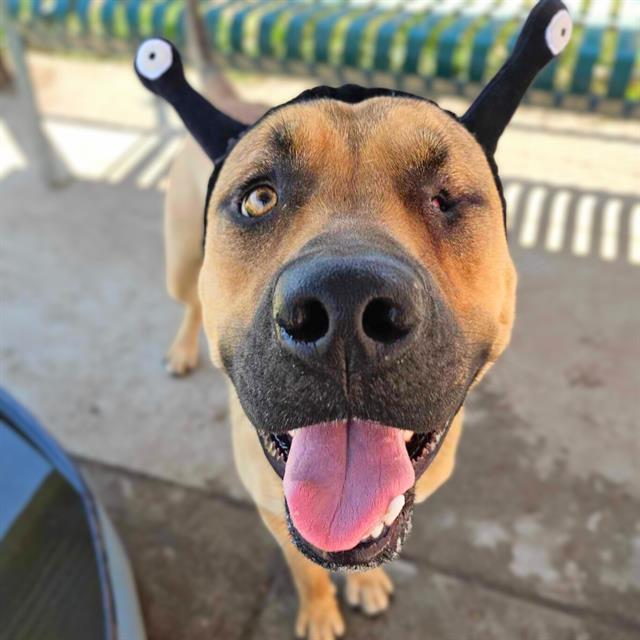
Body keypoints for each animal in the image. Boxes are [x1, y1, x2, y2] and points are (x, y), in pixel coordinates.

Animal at [132, 3, 572, 636]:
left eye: (444, 197)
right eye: (259, 198)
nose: (345, 306)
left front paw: (364, 586)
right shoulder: (274, 512)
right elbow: (308, 571)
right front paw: (319, 610)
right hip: (179, 260)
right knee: (189, 301)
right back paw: (183, 348)